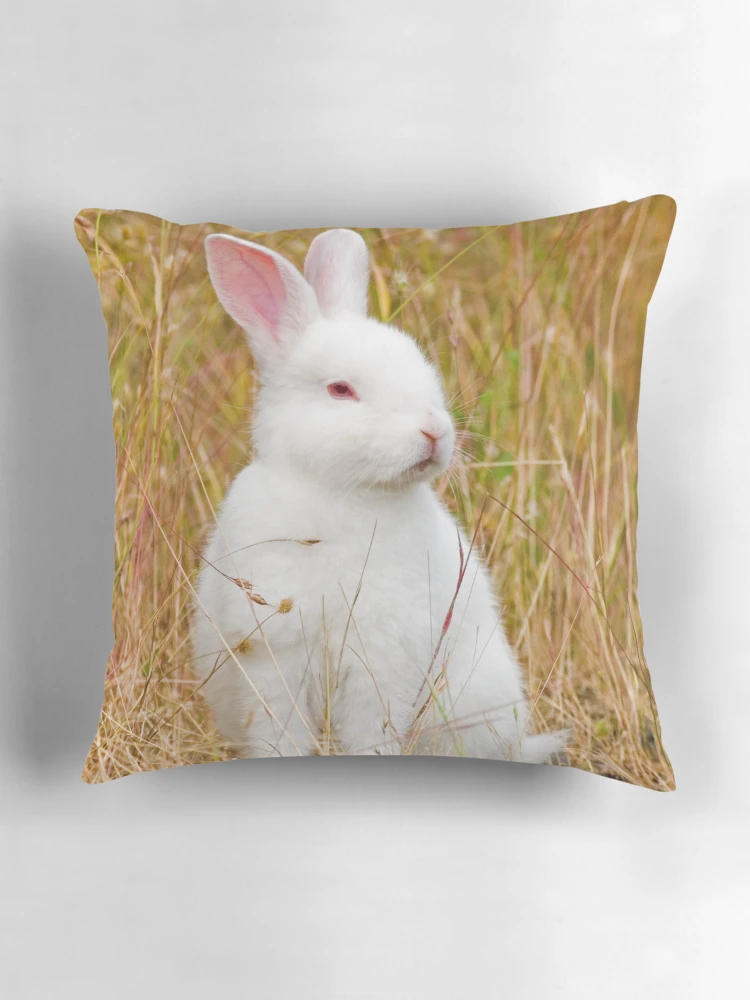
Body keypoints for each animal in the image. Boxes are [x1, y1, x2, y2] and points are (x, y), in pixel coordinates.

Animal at [190, 227, 567, 763]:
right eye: (340, 389)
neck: (340, 492)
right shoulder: (274, 658)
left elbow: (370, 734)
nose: (434, 432)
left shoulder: (382, 663)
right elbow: (280, 733)